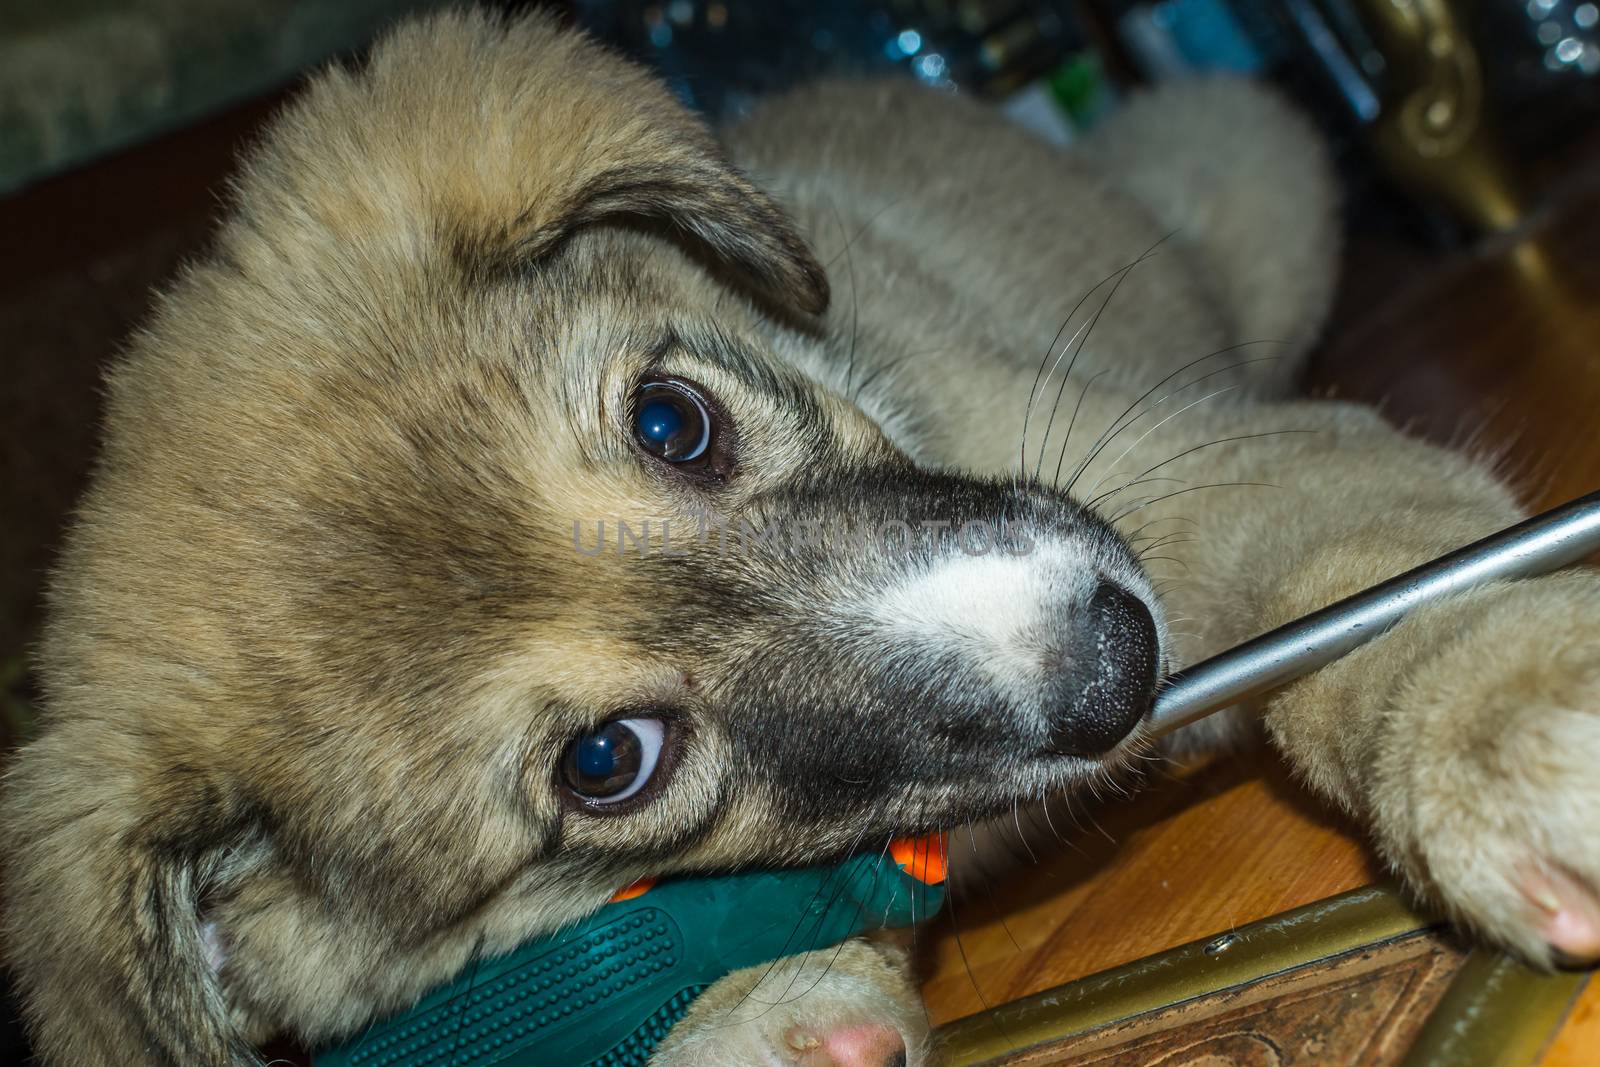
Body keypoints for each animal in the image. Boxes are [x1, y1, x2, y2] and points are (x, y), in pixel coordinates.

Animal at [3, 10, 1600, 1067]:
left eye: (672, 423)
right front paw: (743, 1010)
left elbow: (1368, 584)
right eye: (608, 760)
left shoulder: (1211, 468)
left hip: (1255, 193)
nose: (1111, 665)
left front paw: (1497, 717)